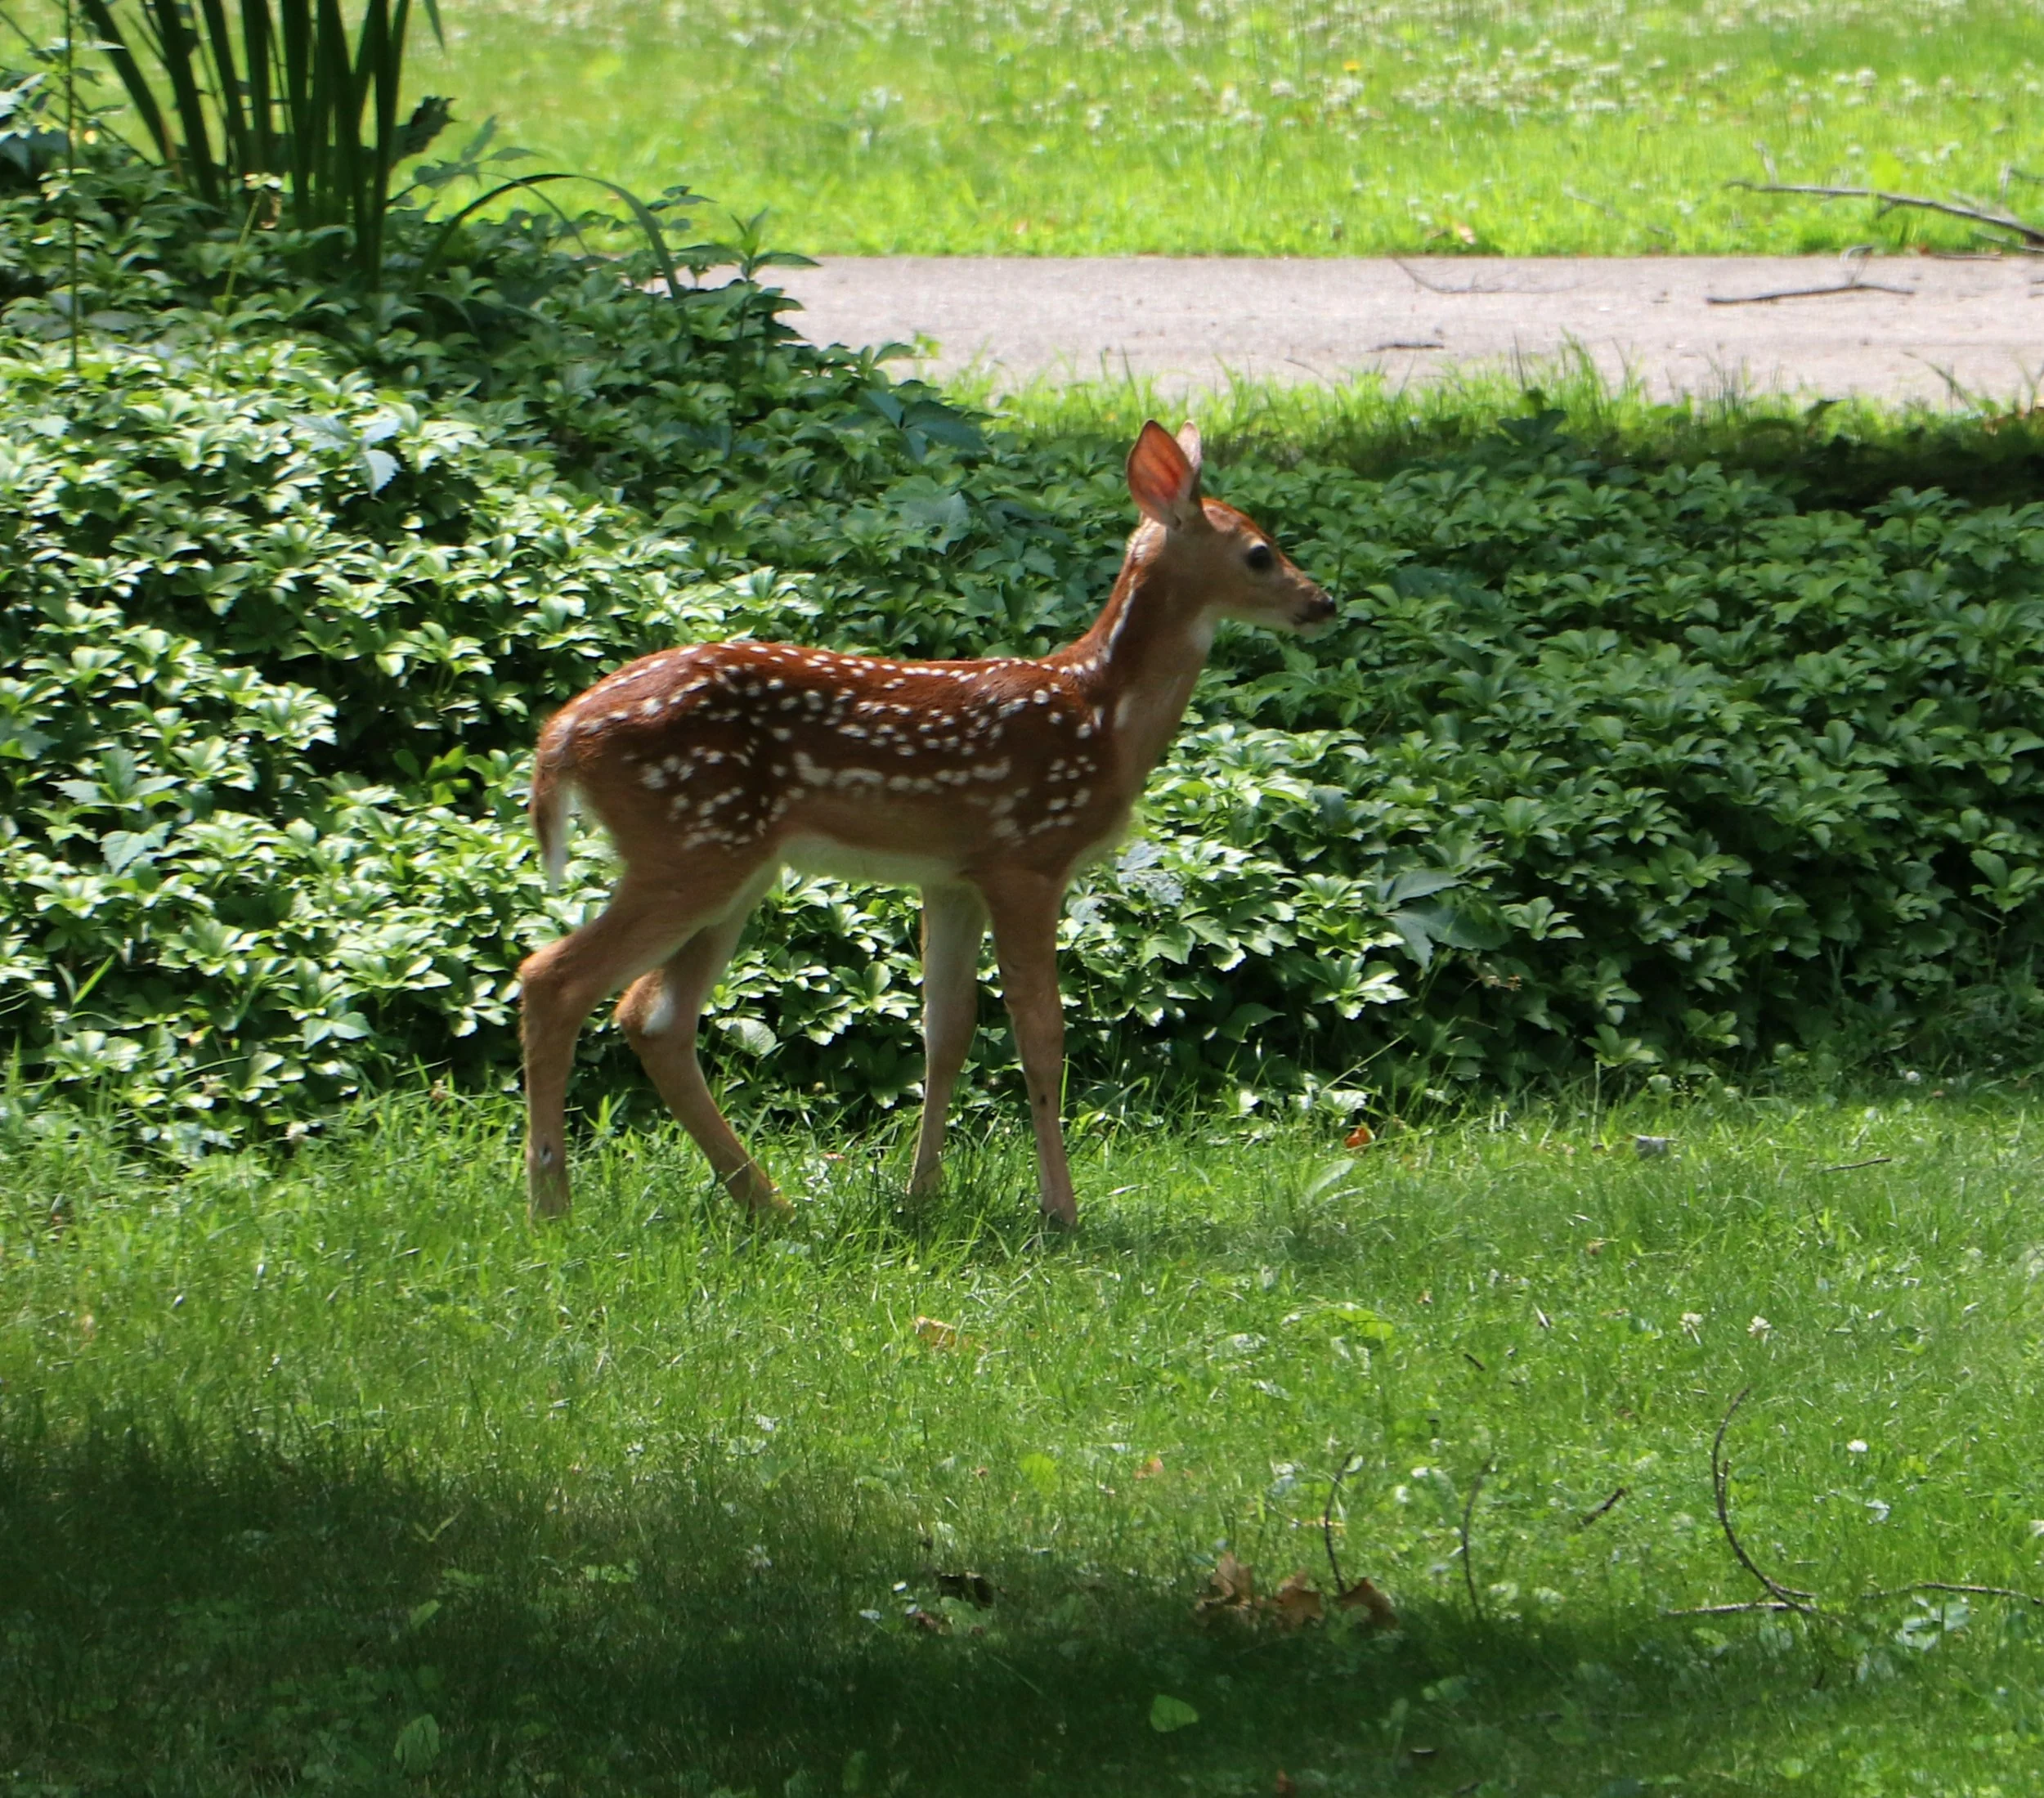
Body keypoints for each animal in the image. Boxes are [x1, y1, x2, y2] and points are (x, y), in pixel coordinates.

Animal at [517, 420, 1335, 1228]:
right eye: (1260, 551)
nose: (1323, 601)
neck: (1102, 715)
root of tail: (561, 734)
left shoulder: (953, 877)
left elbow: (946, 1030)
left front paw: (922, 1194)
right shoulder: (1028, 857)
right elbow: (1041, 1033)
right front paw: (1059, 1210)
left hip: (731, 861)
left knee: (654, 1015)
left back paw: (769, 1203)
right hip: (691, 844)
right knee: (554, 978)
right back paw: (553, 1205)